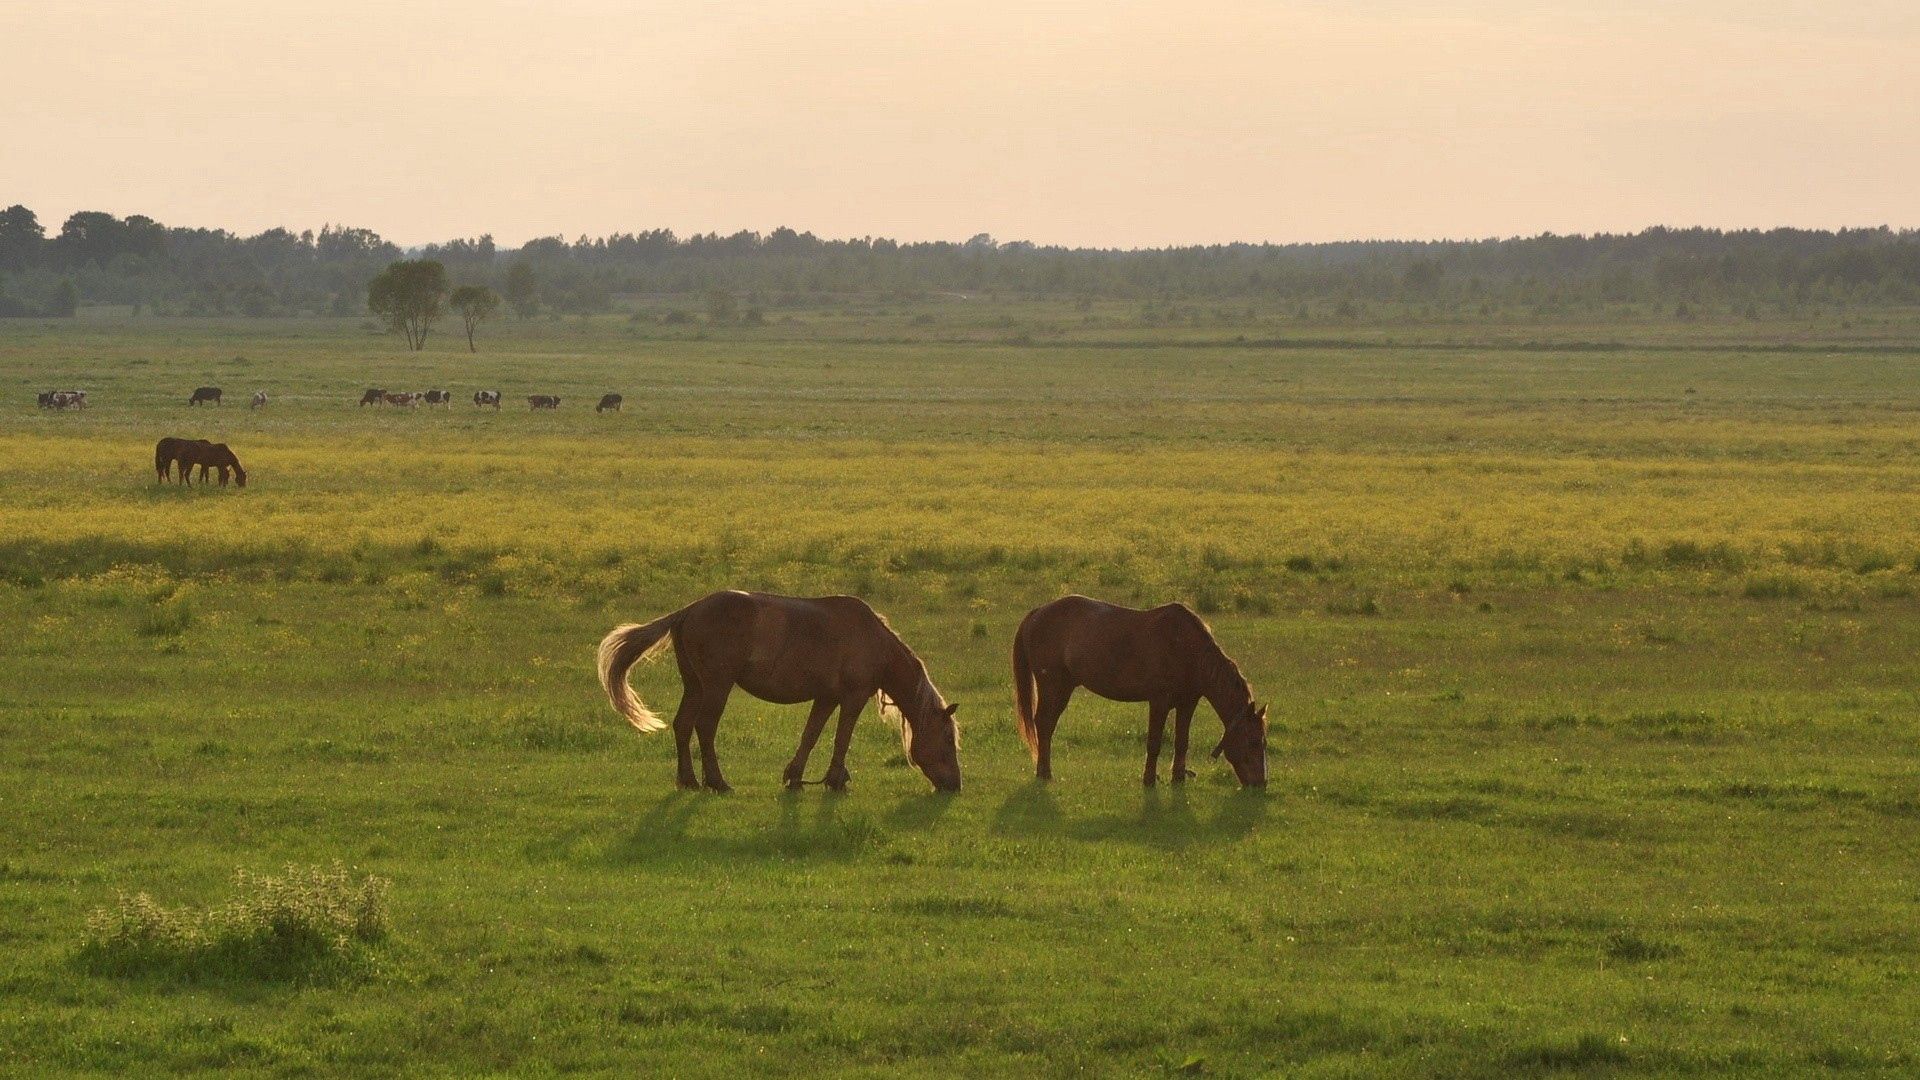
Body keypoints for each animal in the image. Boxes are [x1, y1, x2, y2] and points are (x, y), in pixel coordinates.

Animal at [595, 588, 960, 791]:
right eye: (947, 739)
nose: (955, 785)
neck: (872, 641)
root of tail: (689, 610)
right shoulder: (852, 699)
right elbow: (841, 739)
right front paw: (835, 780)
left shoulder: (826, 698)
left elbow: (810, 735)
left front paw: (795, 777)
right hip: (716, 686)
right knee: (705, 727)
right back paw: (717, 782)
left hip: (695, 686)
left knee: (683, 725)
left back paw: (689, 781)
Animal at [1013, 591, 1267, 787]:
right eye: (1254, 741)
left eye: (1264, 742)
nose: (1261, 785)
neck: (1187, 649)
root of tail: (1037, 612)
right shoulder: (1159, 702)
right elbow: (1154, 742)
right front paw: (1149, 780)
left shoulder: (1187, 703)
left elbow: (1182, 742)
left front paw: (1178, 779)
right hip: (1053, 687)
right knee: (1044, 724)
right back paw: (1044, 773)